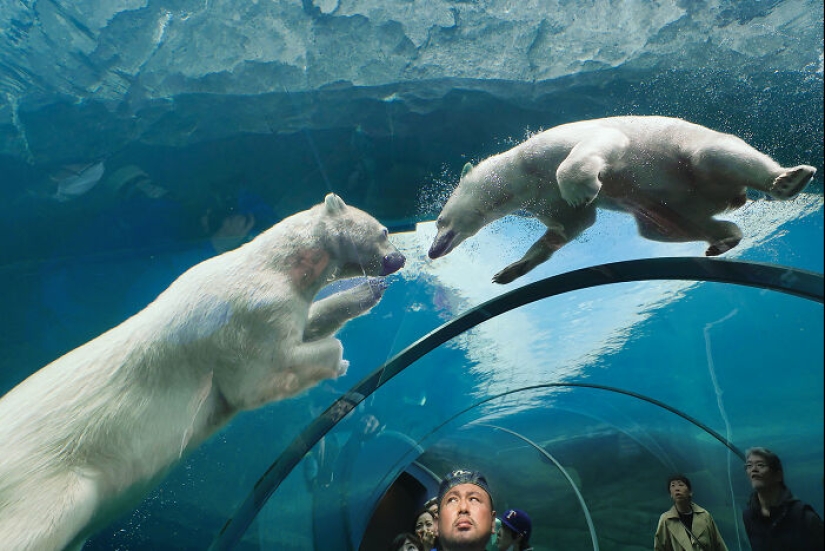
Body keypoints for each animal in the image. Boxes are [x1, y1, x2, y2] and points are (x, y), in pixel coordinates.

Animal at [0, 193, 405, 551]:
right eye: (384, 230)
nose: (399, 258)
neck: (274, 266)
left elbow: (306, 325)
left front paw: (365, 293)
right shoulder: (248, 316)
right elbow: (259, 379)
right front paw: (339, 361)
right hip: (49, 481)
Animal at [428, 115, 817, 284]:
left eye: (439, 221)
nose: (433, 250)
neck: (521, 174)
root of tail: (730, 197)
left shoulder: (546, 151)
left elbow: (601, 144)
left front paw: (581, 189)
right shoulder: (541, 199)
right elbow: (569, 227)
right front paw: (509, 271)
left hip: (688, 152)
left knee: (717, 154)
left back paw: (787, 179)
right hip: (677, 205)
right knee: (664, 227)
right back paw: (722, 239)